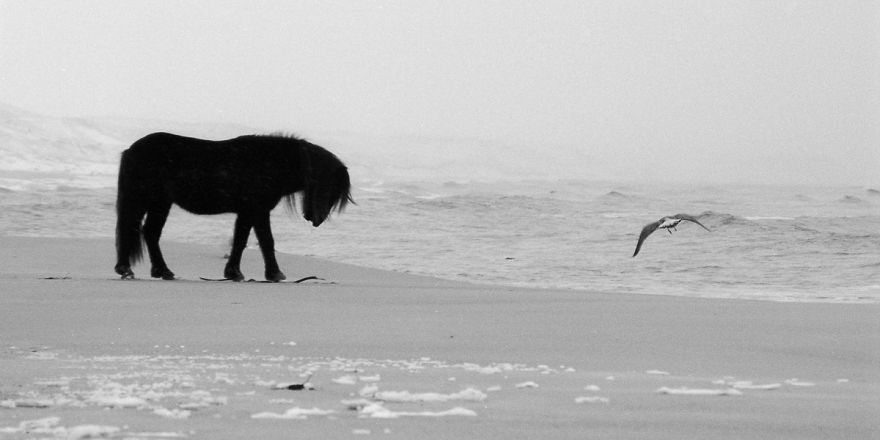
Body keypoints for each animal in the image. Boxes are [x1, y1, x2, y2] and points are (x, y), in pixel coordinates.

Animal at [114, 132, 352, 282]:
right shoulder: (258, 210)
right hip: (150, 201)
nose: (315, 219)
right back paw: (142, 270)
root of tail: (131, 150)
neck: (270, 162)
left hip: (158, 203)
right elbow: (265, 241)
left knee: (146, 232)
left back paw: (154, 271)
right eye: (327, 185)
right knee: (141, 230)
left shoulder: (247, 212)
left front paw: (234, 273)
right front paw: (274, 274)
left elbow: (241, 241)